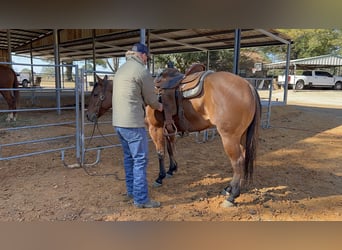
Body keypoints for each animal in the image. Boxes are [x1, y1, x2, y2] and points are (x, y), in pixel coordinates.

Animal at [86, 65, 262, 206]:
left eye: (95, 94)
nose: (88, 116)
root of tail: (247, 84)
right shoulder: (169, 128)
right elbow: (170, 149)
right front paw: (171, 170)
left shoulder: (155, 129)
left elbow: (160, 152)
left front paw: (160, 177)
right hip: (241, 136)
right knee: (243, 158)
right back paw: (229, 188)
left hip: (229, 138)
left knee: (237, 162)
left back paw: (232, 196)